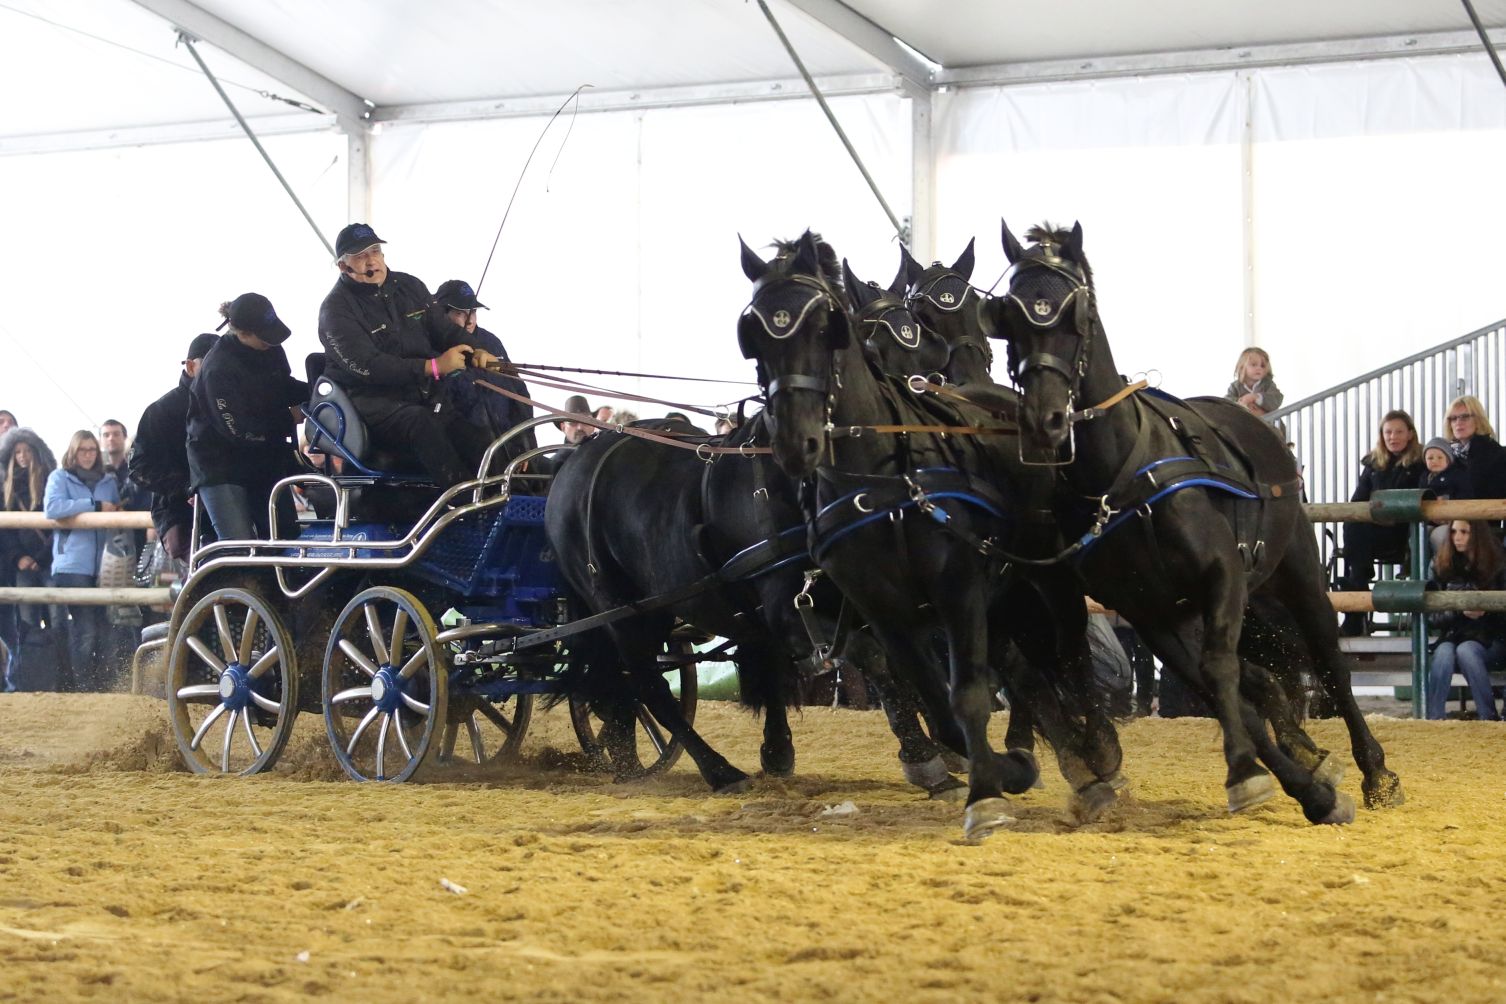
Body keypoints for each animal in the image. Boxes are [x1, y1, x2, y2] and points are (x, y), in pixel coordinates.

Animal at [734, 231, 1126, 836]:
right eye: (753, 336)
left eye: (828, 327)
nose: (797, 441)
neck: (881, 482)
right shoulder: (881, 613)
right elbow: (939, 709)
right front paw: (993, 769)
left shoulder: (958, 589)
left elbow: (969, 698)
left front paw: (990, 789)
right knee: (1029, 672)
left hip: (1042, 577)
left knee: (1066, 649)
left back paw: (1097, 752)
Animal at [987, 219, 1397, 824]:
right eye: (1010, 318)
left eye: (1075, 313)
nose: (1046, 420)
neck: (1122, 476)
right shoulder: (1154, 615)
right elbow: (1224, 694)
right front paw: (1304, 786)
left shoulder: (1221, 576)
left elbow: (1223, 672)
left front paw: (1250, 773)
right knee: (1261, 680)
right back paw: (1312, 754)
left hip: (1297, 575)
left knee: (1331, 668)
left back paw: (1376, 771)